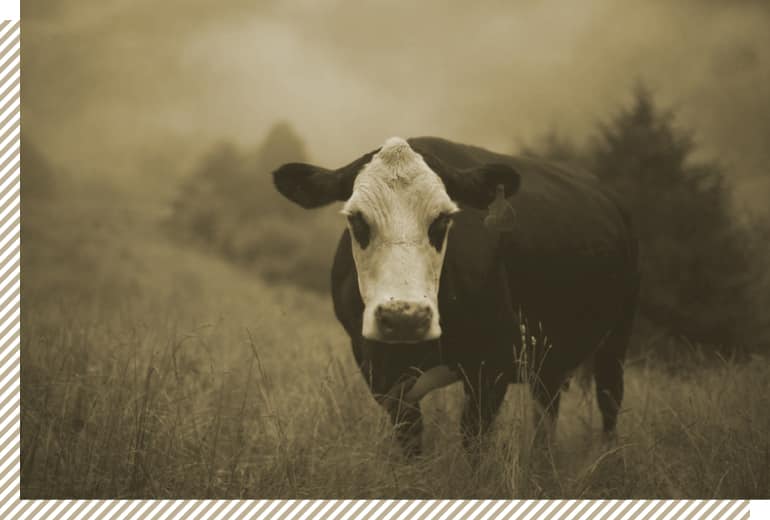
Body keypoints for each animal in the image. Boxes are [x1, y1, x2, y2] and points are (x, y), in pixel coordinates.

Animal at [272, 137, 636, 456]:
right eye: (357, 220)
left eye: (443, 220)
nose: (405, 318)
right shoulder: (376, 368)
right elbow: (410, 440)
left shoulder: (491, 366)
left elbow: (473, 440)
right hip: (549, 358)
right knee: (546, 411)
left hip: (615, 340)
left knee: (609, 404)